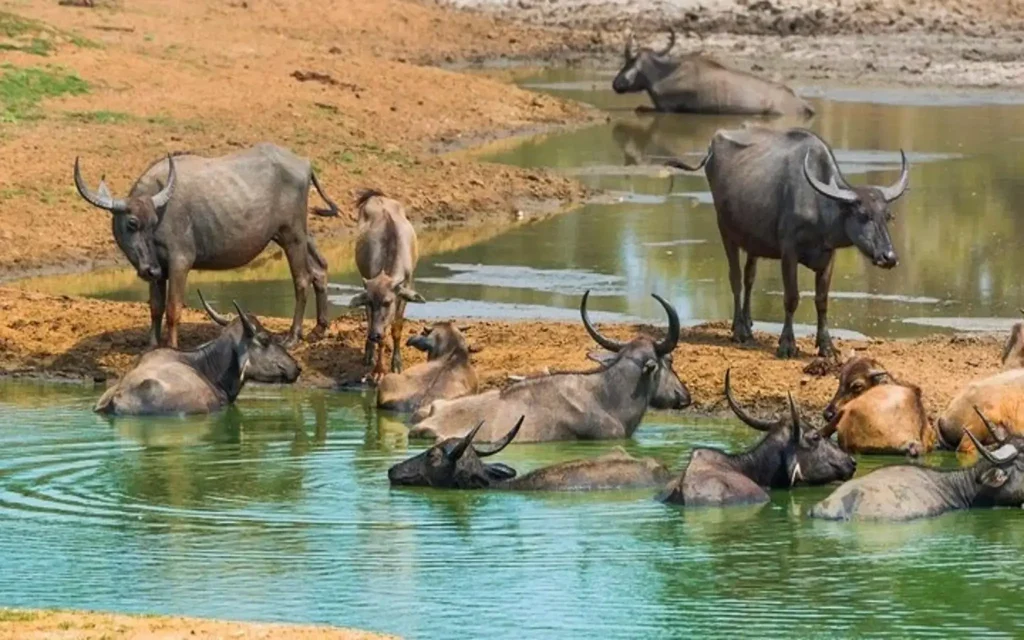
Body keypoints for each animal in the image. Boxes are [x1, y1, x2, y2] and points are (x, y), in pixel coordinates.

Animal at [74, 144, 339, 349]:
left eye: (151, 222)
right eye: (132, 223)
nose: (151, 269)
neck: (163, 209)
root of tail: (305, 164)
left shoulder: (180, 262)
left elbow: (173, 309)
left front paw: (171, 347)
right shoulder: (159, 269)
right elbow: (156, 308)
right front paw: (150, 346)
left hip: (292, 235)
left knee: (302, 279)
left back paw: (293, 338)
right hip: (295, 235)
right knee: (319, 269)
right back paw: (318, 329)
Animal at [347, 190, 425, 383]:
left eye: (388, 302)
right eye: (369, 301)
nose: (374, 335)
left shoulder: (404, 290)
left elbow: (396, 328)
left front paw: (396, 364)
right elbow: (379, 333)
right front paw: (378, 370)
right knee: (369, 322)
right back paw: (368, 354)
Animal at [612, 30, 814, 117]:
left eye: (630, 62)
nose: (616, 84)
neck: (662, 75)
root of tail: (804, 105)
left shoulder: (667, 109)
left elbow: (639, 108)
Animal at [668, 126, 909, 358]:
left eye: (887, 216)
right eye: (863, 215)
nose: (889, 257)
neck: (817, 205)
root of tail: (711, 147)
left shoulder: (828, 256)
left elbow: (822, 300)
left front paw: (827, 346)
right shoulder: (788, 253)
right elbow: (791, 298)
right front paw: (786, 345)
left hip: (753, 241)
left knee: (749, 277)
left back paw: (748, 324)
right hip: (726, 231)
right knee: (735, 278)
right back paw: (739, 330)